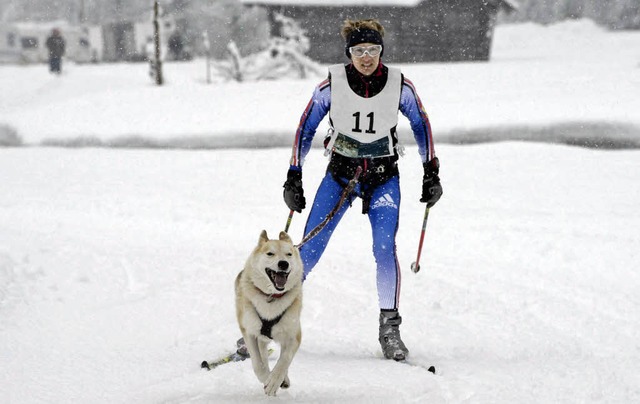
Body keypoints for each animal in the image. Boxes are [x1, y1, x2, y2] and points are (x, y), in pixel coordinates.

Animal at [235, 229, 304, 396]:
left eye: (289, 254)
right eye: (270, 254)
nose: (283, 263)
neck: (271, 296)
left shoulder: (293, 335)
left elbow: (284, 360)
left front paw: (275, 380)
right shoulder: (249, 331)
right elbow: (257, 363)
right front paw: (266, 379)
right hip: (259, 335)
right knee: (262, 356)